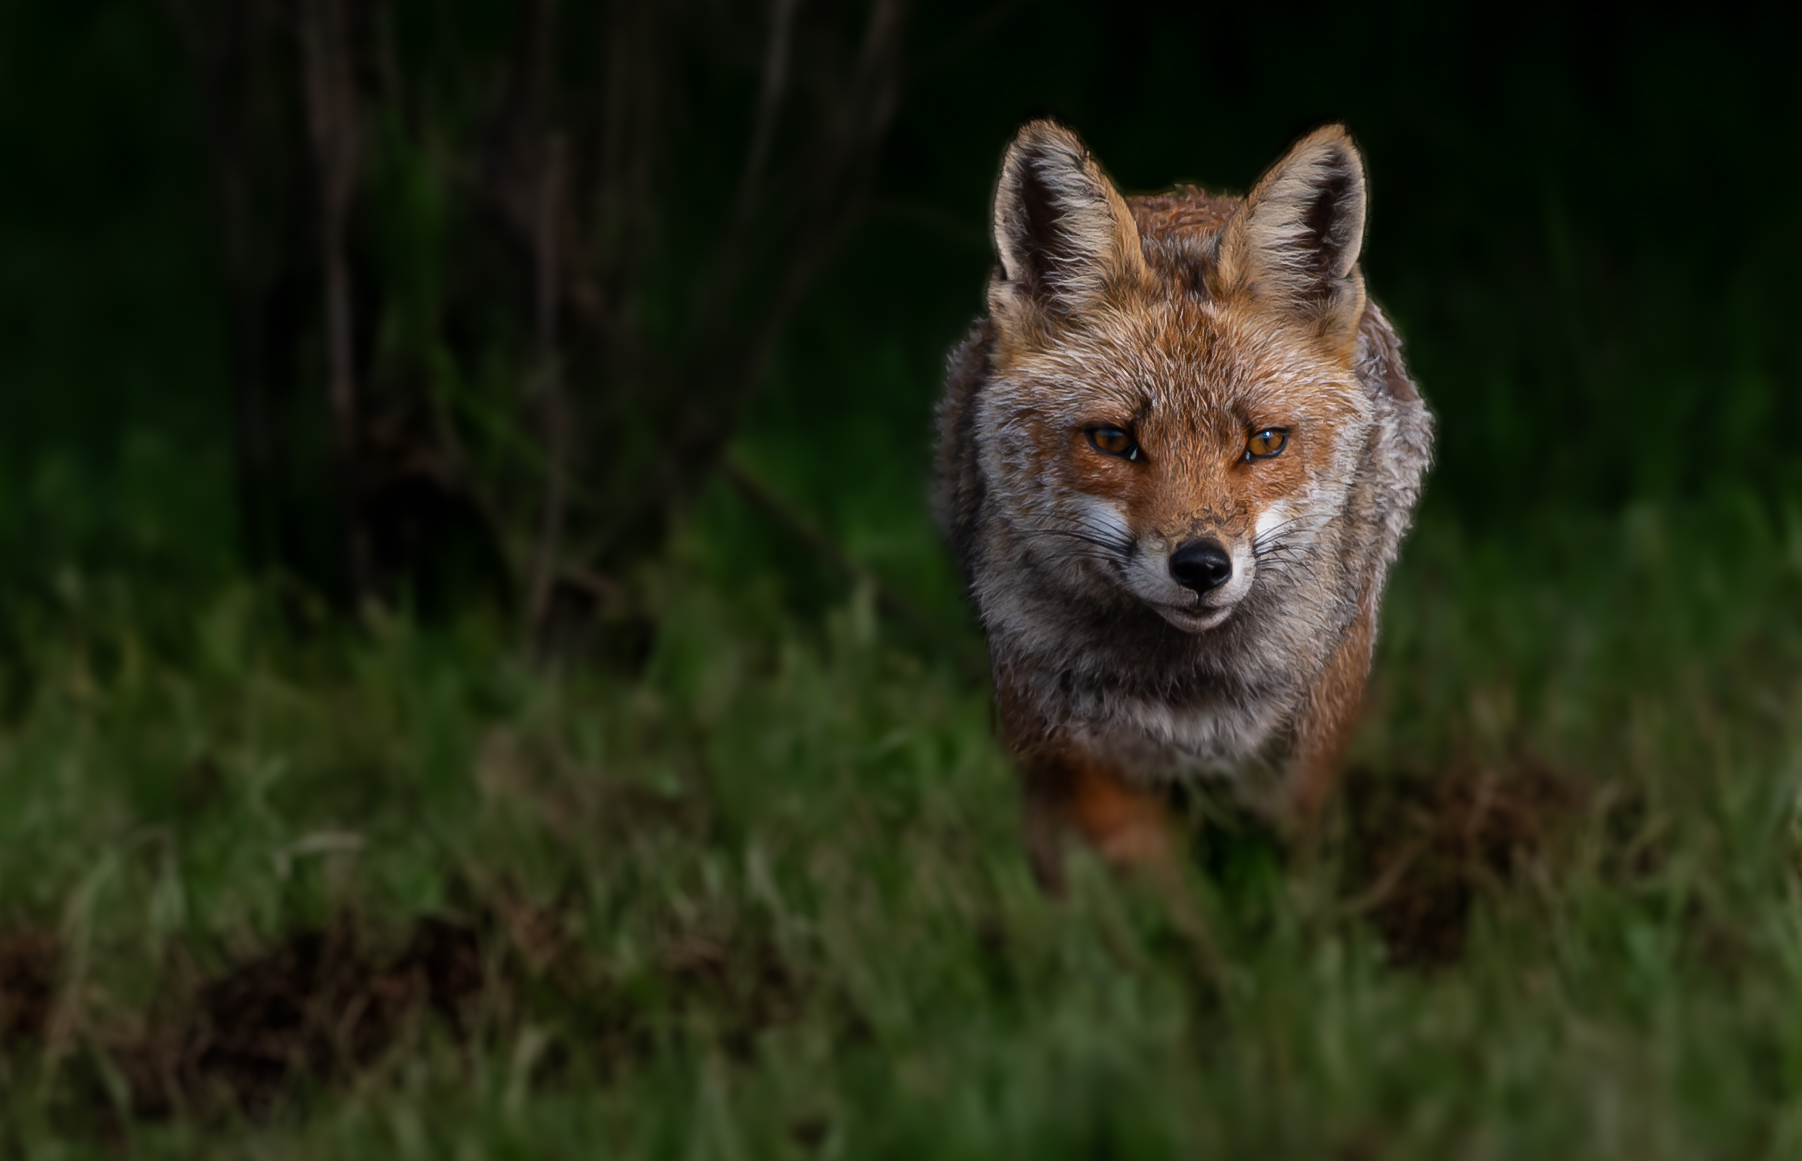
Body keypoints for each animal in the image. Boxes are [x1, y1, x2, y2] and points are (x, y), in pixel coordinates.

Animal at [933, 121, 1432, 889]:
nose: (1201, 567)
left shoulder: (1304, 754)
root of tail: (1186, 199)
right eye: (1113, 440)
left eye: (1264, 442)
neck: (1185, 693)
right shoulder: (1050, 738)